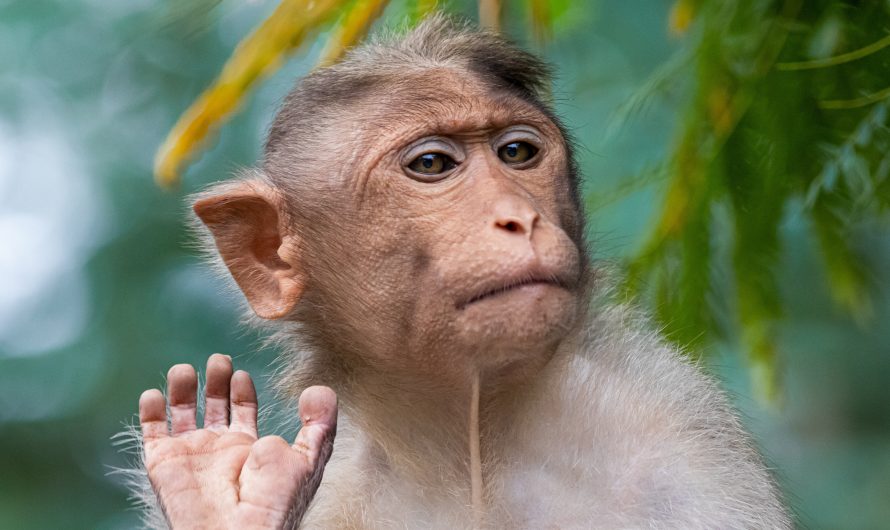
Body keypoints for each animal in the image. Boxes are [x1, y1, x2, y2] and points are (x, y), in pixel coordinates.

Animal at [132, 15, 791, 529]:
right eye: (431, 164)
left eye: (517, 153)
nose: (519, 218)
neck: (468, 440)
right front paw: (218, 491)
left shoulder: (678, 440)